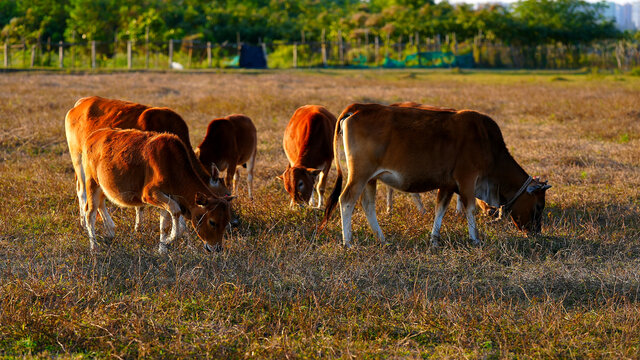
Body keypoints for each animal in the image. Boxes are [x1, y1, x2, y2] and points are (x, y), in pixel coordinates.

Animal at [64, 95, 228, 231]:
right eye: (224, 193)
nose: (233, 223)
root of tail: (81, 103)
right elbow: (143, 206)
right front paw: (139, 227)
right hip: (78, 159)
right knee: (82, 191)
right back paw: (84, 223)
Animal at [80, 128, 235, 252]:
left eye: (226, 221)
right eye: (212, 222)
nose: (217, 248)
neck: (171, 165)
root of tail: (93, 135)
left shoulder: (167, 197)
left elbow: (165, 225)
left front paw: (162, 248)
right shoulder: (150, 194)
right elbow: (175, 213)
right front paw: (167, 242)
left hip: (101, 186)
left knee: (100, 204)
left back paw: (110, 231)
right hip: (91, 182)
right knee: (90, 213)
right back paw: (94, 247)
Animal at [322, 102, 552, 246]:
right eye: (539, 206)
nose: (535, 233)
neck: (488, 144)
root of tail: (359, 107)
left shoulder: (448, 185)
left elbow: (440, 209)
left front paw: (434, 239)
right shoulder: (467, 179)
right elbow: (469, 209)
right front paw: (475, 238)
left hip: (371, 178)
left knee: (368, 206)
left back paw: (382, 239)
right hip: (359, 175)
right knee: (346, 200)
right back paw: (348, 242)